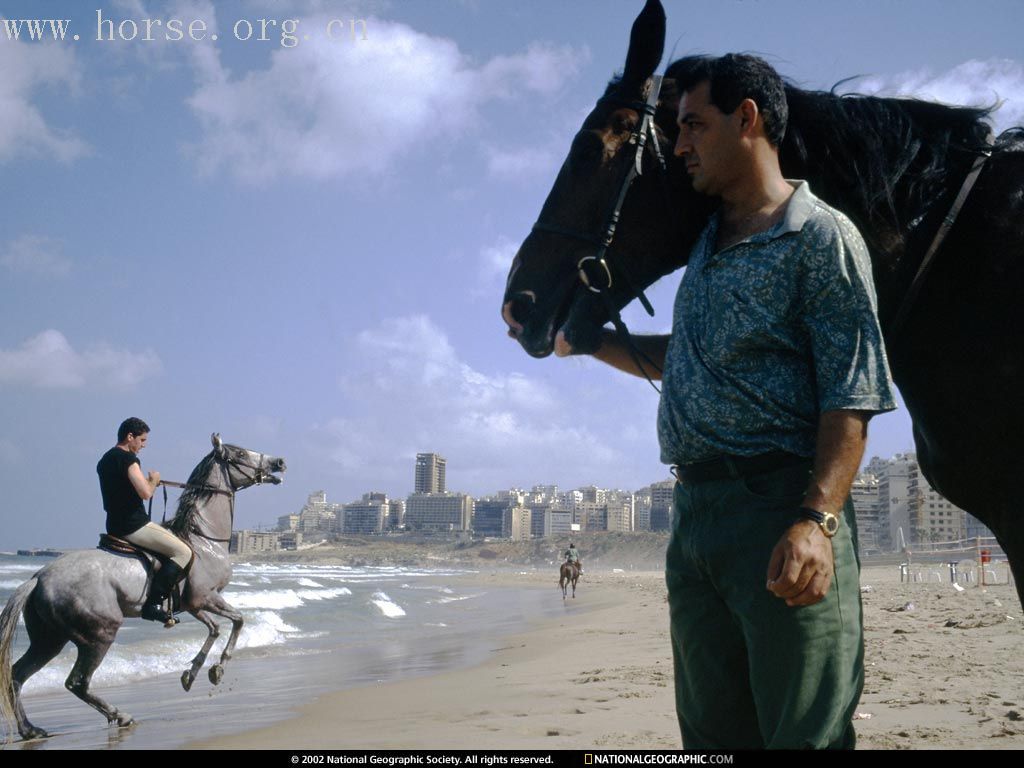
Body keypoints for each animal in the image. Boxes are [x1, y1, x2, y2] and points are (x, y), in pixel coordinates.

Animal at [0, 434, 284, 741]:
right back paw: (120, 715)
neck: (204, 541)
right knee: (76, 682)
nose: (279, 463)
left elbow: (215, 628)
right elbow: (237, 621)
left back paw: (31, 730)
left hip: (49, 640)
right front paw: (218, 669)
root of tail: (38, 578)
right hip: (98, 634)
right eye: (241, 453)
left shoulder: (193, 604)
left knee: (17, 676)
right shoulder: (204, 598)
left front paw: (192, 674)